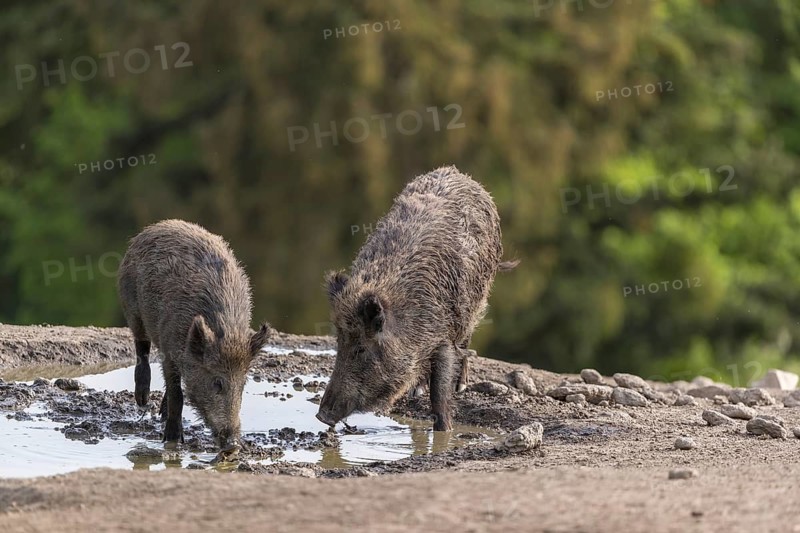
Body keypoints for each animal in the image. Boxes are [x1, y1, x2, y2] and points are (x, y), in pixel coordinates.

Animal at [117, 219, 272, 450]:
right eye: (217, 382)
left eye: (243, 385)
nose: (233, 445)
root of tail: (158, 226)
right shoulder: (169, 347)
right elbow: (177, 394)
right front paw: (172, 440)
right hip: (131, 306)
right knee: (141, 347)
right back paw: (143, 401)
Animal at [317, 166, 518, 431]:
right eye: (339, 342)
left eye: (361, 348)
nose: (321, 416)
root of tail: (459, 173)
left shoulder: (443, 336)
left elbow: (439, 392)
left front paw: (446, 430)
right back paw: (417, 389)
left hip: (478, 297)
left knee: (467, 337)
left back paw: (460, 385)